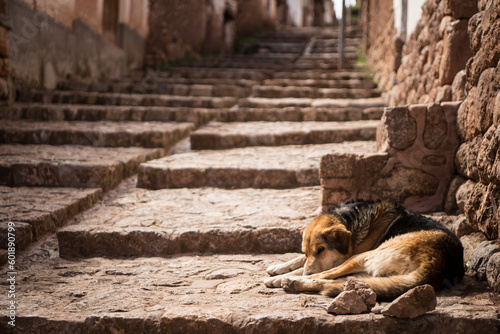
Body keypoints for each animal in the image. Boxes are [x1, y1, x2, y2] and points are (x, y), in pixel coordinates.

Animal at [266, 201, 464, 300]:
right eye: (306, 251)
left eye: (321, 249)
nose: (306, 274)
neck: (350, 221)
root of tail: (438, 263)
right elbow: (300, 261)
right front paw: (278, 268)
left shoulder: (345, 255)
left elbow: (310, 268)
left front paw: (281, 276)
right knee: (339, 282)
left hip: (361, 257)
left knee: (325, 276)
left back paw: (292, 281)